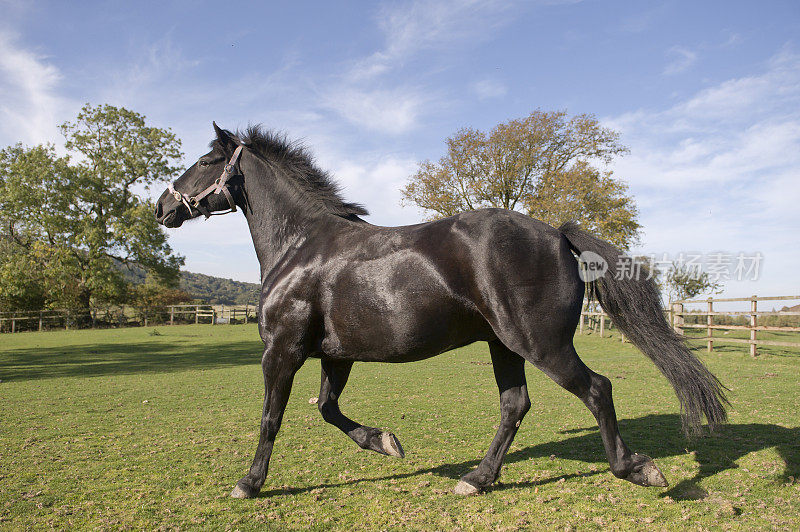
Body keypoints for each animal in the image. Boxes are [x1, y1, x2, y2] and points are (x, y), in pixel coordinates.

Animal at [155, 124, 724, 498]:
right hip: (503, 346)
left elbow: (272, 417)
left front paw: (249, 483)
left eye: (205, 161)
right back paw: (476, 479)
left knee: (597, 390)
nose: (161, 207)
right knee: (515, 406)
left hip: (542, 345)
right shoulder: (335, 355)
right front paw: (386, 443)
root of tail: (557, 234)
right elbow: (328, 409)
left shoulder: (283, 350)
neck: (301, 245)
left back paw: (638, 469)